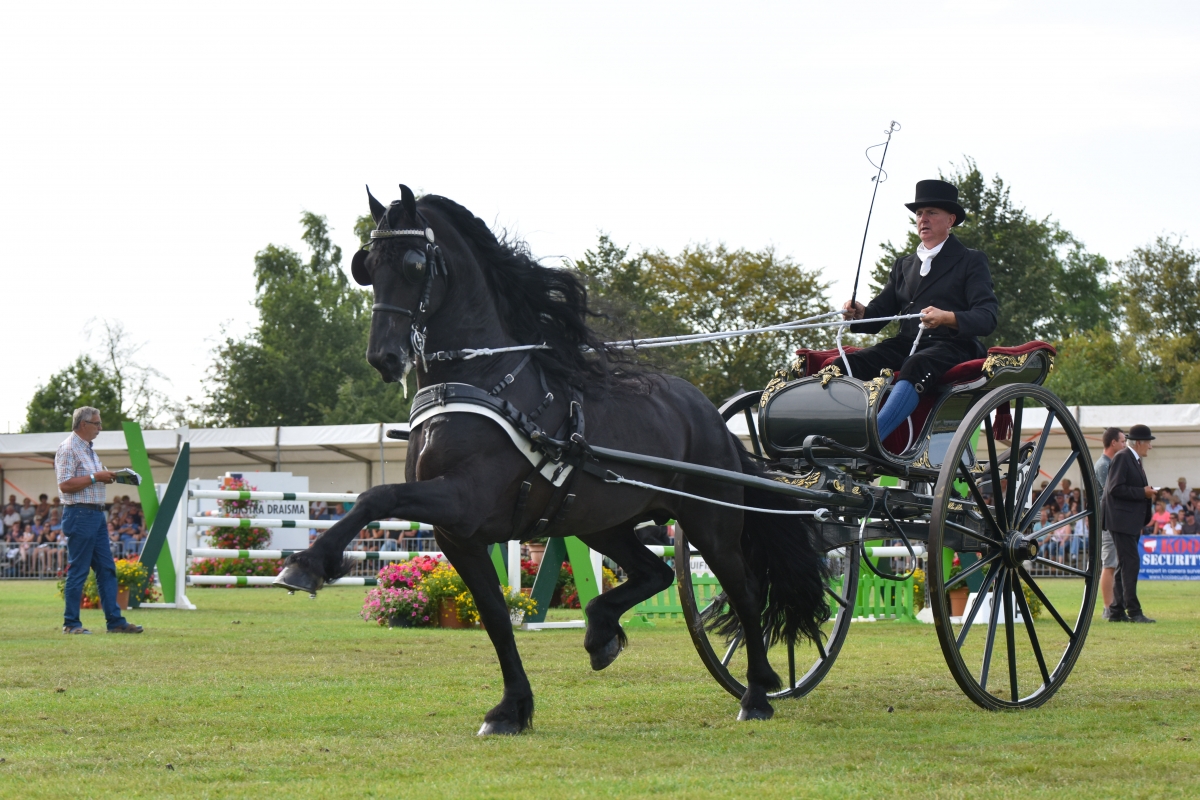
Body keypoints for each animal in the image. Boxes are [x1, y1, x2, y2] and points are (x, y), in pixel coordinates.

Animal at [276, 185, 830, 734]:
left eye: (414, 264)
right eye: (366, 265)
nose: (385, 358)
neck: (482, 384)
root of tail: (710, 415)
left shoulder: (462, 500)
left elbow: (376, 495)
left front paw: (306, 566)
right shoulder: (459, 535)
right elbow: (496, 617)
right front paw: (511, 708)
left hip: (709, 521)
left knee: (745, 592)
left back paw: (756, 694)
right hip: (603, 523)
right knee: (656, 573)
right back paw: (601, 632)